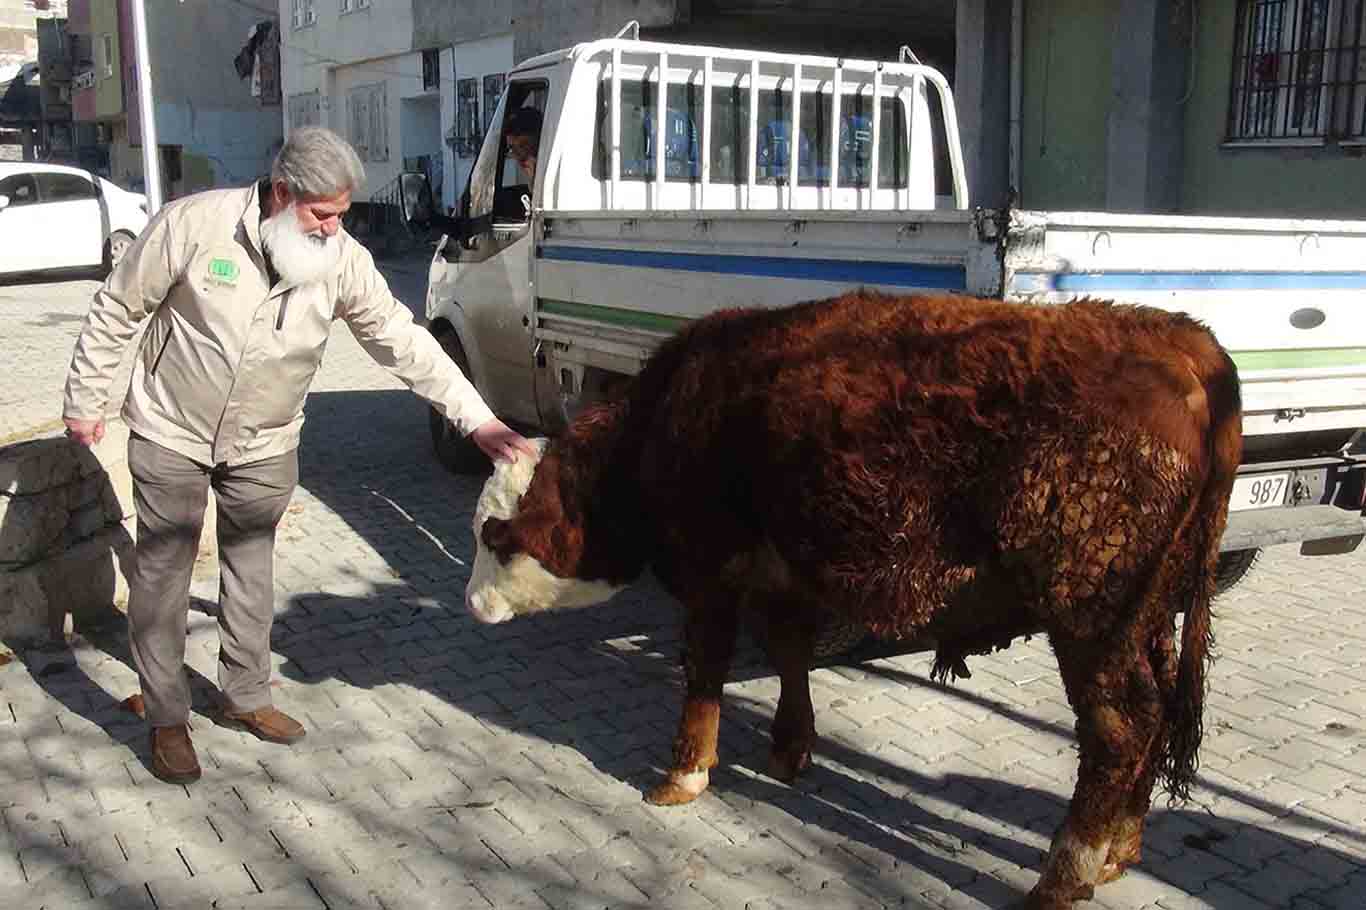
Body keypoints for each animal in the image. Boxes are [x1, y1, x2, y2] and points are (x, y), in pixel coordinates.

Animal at [464, 291, 1245, 907]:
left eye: (492, 536)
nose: (472, 605)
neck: (670, 415)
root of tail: (1179, 339)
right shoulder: (780, 575)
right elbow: (789, 654)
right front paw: (790, 748)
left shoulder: (712, 573)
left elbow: (704, 672)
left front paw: (684, 774)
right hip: (1150, 611)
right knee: (1159, 705)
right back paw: (1120, 850)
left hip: (1091, 610)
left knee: (1122, 725)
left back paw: (1065, 873)